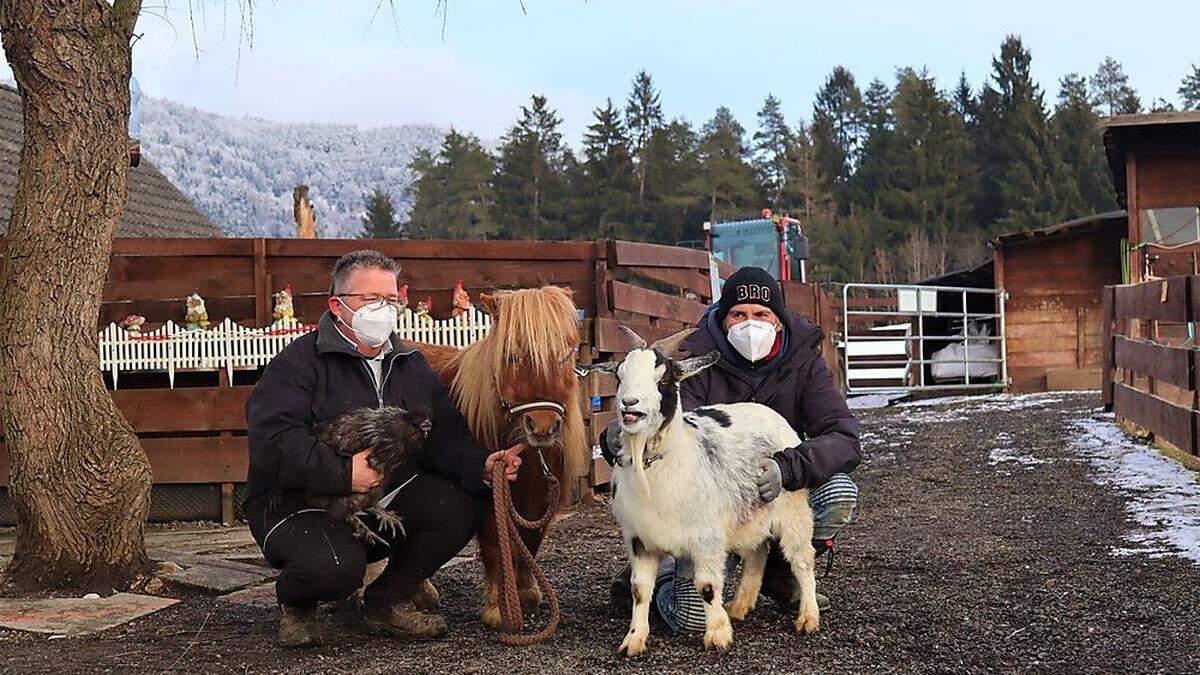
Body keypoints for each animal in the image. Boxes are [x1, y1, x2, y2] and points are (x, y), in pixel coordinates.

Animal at [412, 285, 585, 629]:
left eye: (565, 354)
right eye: (510, 356)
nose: (542, 425)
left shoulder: (540, 498)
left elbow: (531, 541)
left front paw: (528, 595)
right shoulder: (489, 496)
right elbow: (496, 544)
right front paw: (499, 608)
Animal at [592, 324, 820, 653]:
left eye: (664, 378)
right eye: (619, 376)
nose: (629, 405)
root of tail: (770, 414)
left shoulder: (707, 538)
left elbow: (707, 587)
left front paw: (717, 635)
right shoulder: (639, 539)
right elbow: (640, 590)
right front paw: (633, 640)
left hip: (793, 510)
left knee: (802, 559)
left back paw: (808, 617)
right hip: (747, 516)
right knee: (757, 554)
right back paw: (738, 607)